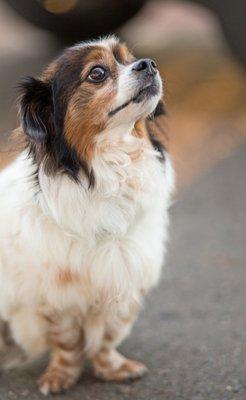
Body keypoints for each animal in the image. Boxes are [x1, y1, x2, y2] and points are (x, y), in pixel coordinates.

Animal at [0, 36, 174, 394]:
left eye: (130, 60)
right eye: (97, 74)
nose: (149, 64)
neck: (111, 167)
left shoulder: (125, 277)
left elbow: (109, 336)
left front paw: (112, 368)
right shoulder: (54, 294)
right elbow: (66, 341)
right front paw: (61, 376)